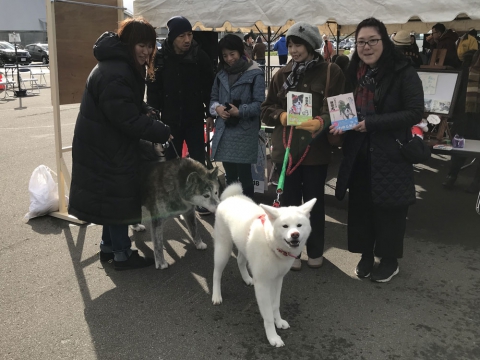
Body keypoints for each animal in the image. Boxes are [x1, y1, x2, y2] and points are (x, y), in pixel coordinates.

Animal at [212, 184, 316, 348]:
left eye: (299, 225)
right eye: (285, 226)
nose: (295, 234)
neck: (272, 244)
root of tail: (231, 197)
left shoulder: (277, 280)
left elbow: (275, 305)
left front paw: (278, 321)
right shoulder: (262, 284)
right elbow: (267, 315)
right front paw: (273, 337)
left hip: (244, 246)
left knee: (240, 260)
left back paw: (247, 278)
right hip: (224, 248)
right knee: (217, 273)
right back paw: (216, 295)